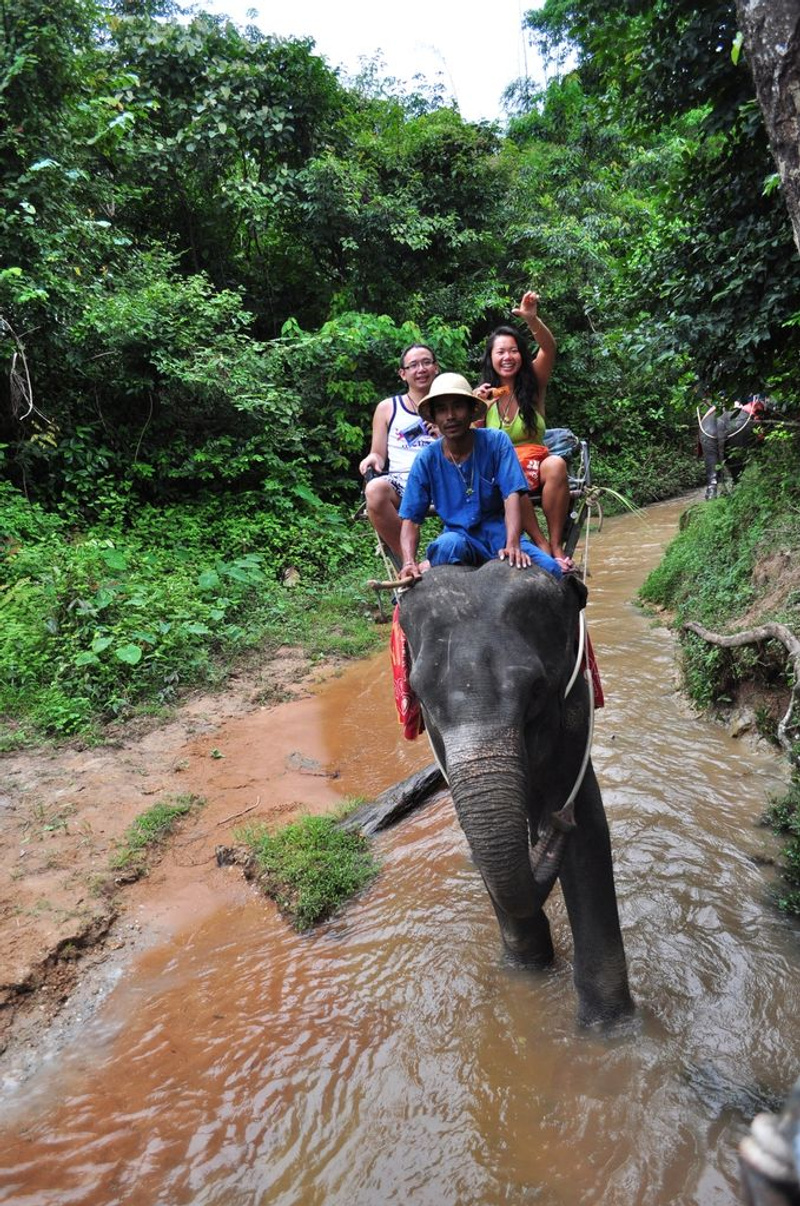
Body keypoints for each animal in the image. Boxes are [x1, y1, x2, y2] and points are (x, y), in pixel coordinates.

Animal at [398, 559, 634, 1027]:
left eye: (537, 690)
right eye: (420, 697)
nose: (558, 822)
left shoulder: (574, 701)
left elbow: (589, 828)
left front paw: (610, 1028)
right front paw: (526, 972)